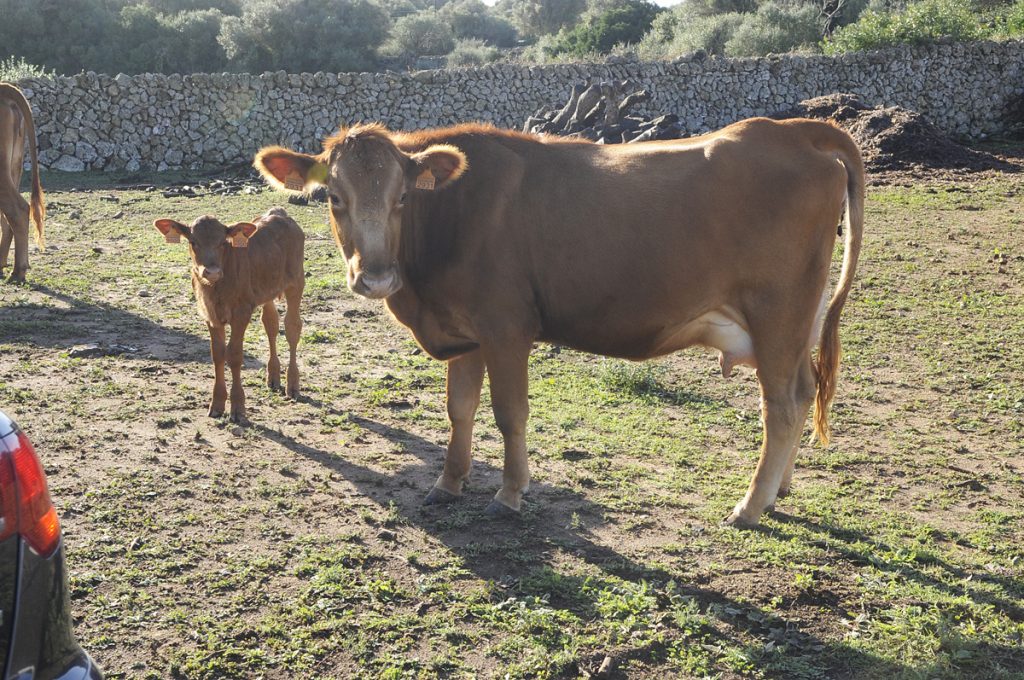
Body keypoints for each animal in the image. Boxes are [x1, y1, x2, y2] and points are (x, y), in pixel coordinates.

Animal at [151, 205, 303, 426]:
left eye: (223, 242)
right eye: (193, 241)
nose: (212, 272)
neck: (216, 290)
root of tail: (280, 213)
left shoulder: (241, 312)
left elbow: (235, 355)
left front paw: (238, 408)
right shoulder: (210, 315)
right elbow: (217, 355)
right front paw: (216, 404)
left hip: (296, 282)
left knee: (292, 328)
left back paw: (292, 384)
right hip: (266, 291)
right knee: (271, 324)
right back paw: (273, 377)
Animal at [256, 118, 864, 524]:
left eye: (403, 196)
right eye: (334, 197)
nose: (377, 276)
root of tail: (789, 129)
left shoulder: (505, 328)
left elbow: (509, 414)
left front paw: (509, 493)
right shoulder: (464, 332)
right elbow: (459, 411)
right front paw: (449, 483)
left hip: (778, 311)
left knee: (781, 405)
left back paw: (750, 505)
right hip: (795, 323)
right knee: (803, 391)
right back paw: (780, 490)